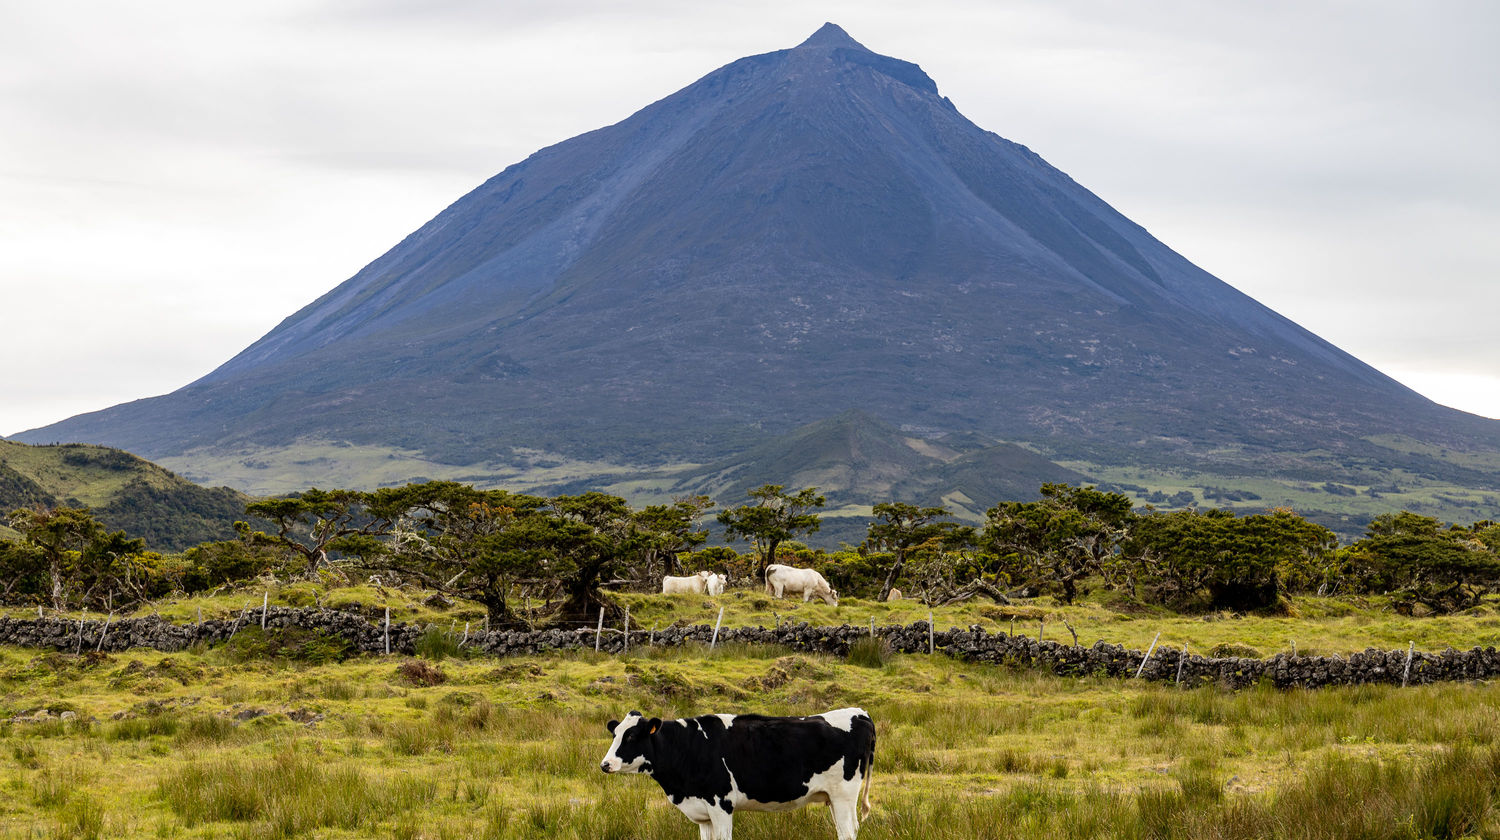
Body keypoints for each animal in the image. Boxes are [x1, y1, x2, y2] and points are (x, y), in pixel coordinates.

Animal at [600, 708, 876, 840]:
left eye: (631, 736)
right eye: (615, 734)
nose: (605, 764)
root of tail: (860, 713)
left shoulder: (721, 804)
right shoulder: (703, 814)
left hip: (844, 795)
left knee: (847, 832)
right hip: (833, 798)